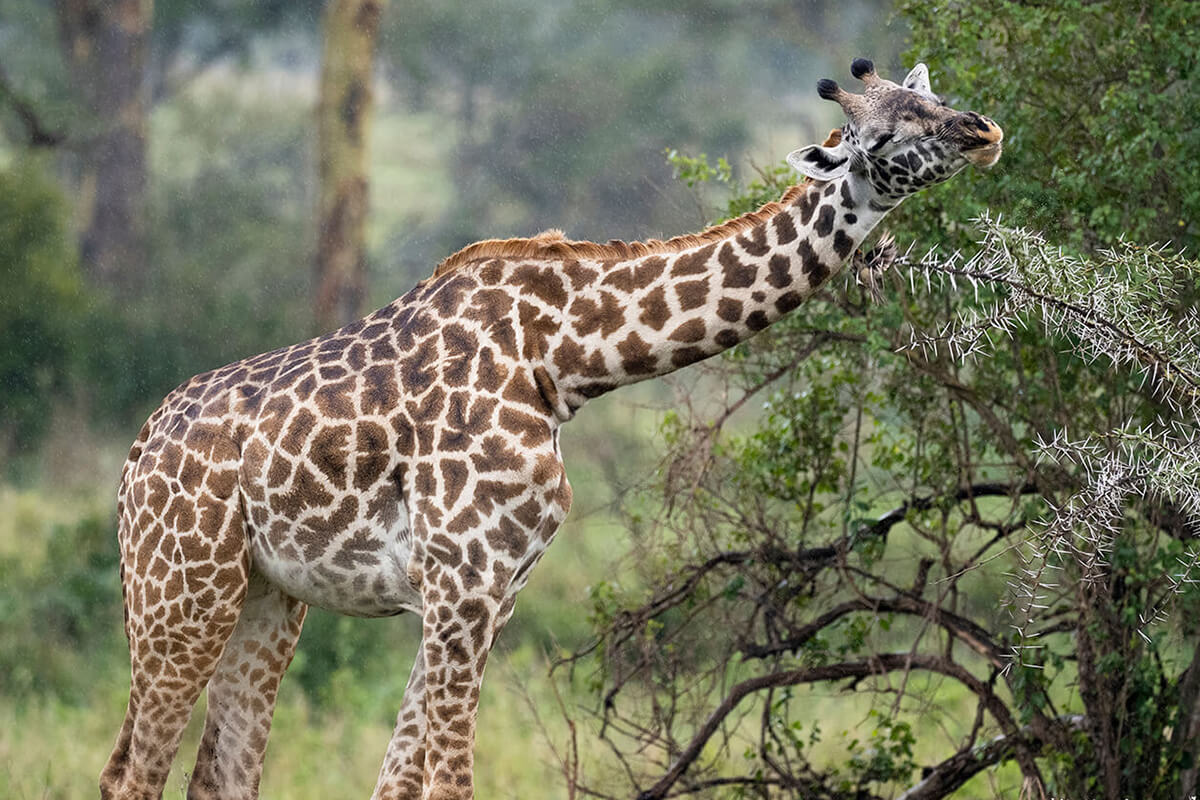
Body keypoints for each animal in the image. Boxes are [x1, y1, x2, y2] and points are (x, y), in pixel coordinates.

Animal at [101, 58, 1001, 800]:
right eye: (881, 134)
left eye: (930, 98)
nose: (982, 132)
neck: (564, 358)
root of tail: (136, 456)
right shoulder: (462, 581)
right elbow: (447, 784)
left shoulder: (488, 591)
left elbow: (396, 782)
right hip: (180, 590)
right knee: (131, 773)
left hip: (266, 597)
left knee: (214, 773)